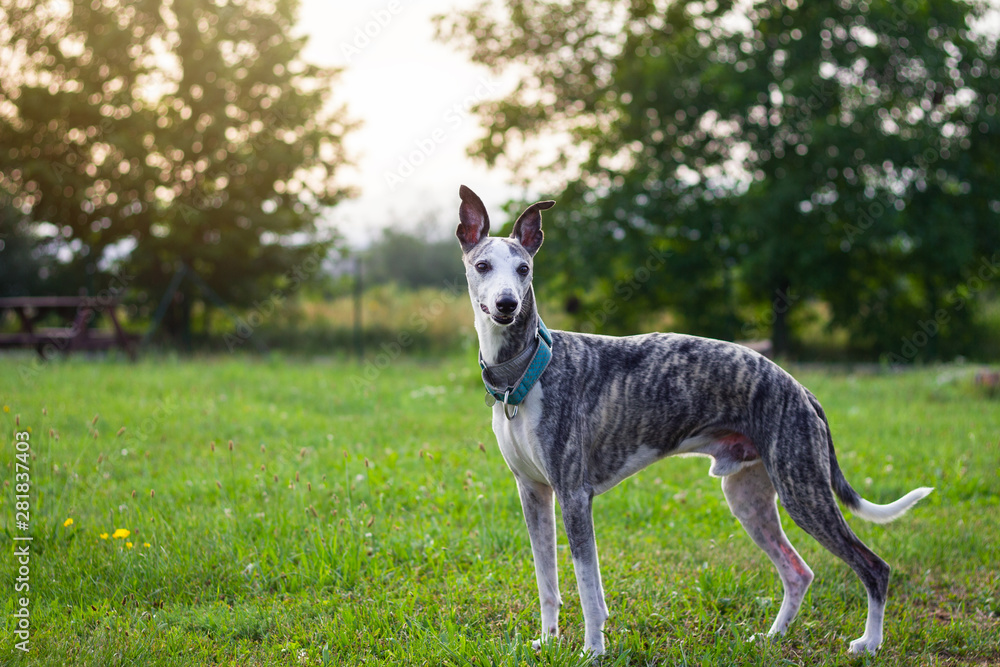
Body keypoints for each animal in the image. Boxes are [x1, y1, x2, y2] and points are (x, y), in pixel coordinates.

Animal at [460, 185, 936, 656]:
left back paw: (869, 643)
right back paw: (771, 637)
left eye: (524, 269)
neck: (526, 370)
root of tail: (801, 390)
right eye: (482, 266)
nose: (506, 304)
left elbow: (588, 587)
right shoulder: (533, 493)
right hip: (749, 497)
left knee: (874, 566)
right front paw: (546, 641)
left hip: (803, 491)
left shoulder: (575, 495)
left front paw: (592, 651)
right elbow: (548, 581)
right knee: (799, 571)